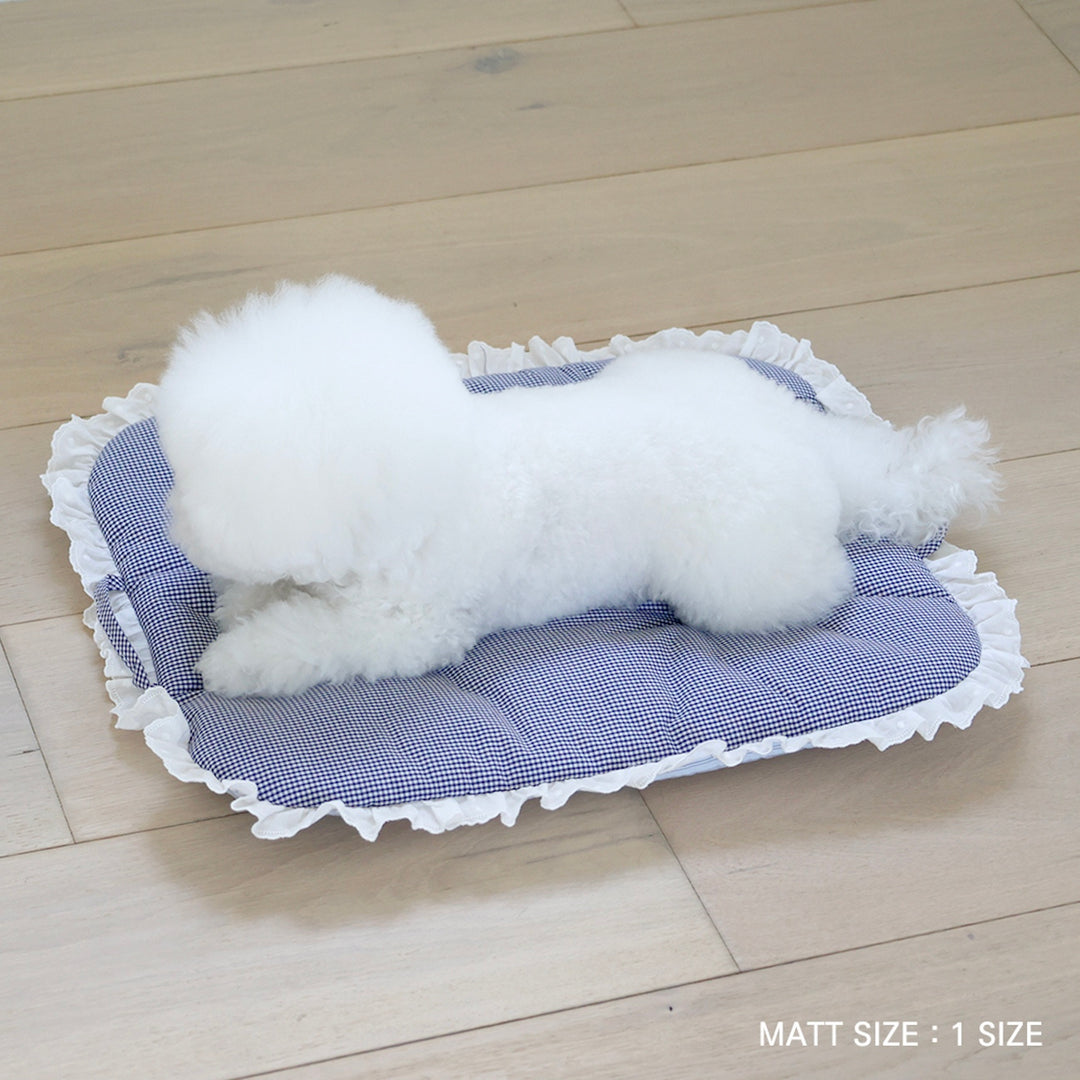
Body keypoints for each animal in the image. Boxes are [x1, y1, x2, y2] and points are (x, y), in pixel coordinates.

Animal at [155, 275, 999, 697]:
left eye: (202, 480)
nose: (174, 524)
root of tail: (803, 440)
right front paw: (247, 601)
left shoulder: (408, 627)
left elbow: (313, 637)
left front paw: (239, 658)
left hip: (738, 578)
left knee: (815, 588)